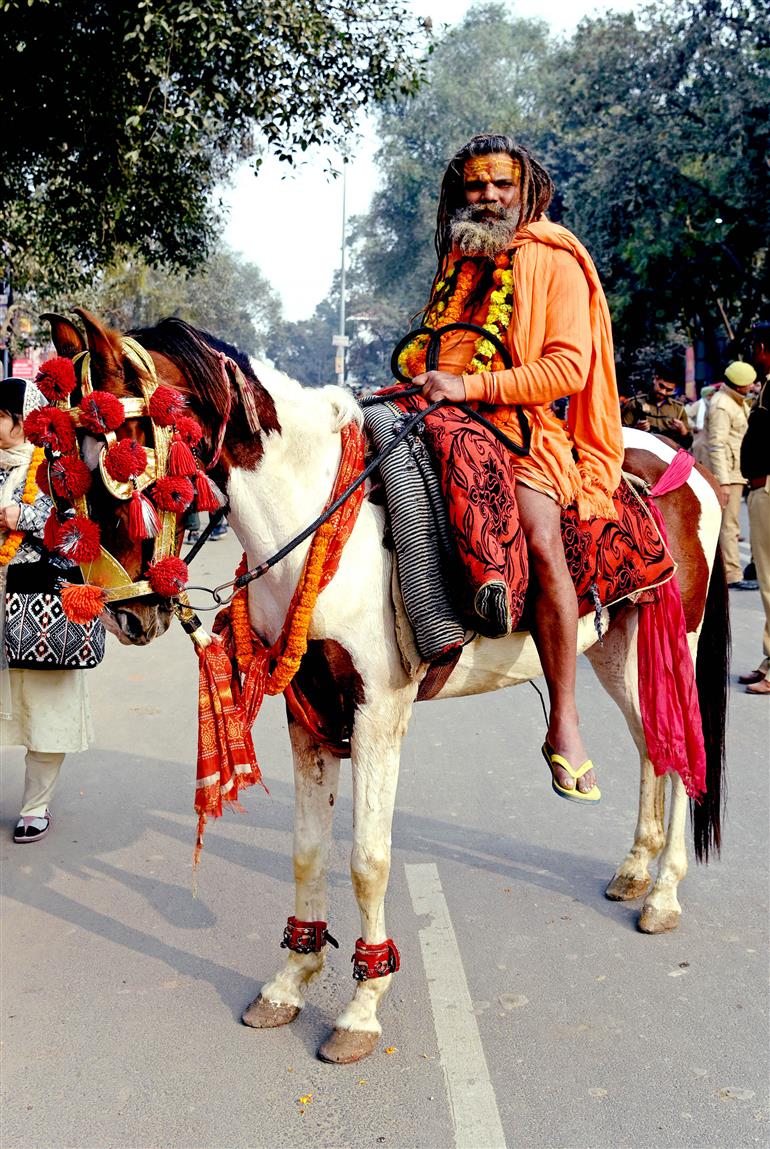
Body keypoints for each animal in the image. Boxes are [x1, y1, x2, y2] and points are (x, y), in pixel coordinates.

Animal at [42, 307, 730, 1066]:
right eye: (62, 469)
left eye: (121, 458)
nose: (129, 614)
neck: (312, 507)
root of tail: (678, 463)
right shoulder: (307, 707)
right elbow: (307, 849)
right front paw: (291, 978)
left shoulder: (378, 707)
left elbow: (367, 858)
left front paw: (361, 1008)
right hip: (614, 644)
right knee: (654, 745)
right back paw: (636, 868)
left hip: (675, 633)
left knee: (685, 747)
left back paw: (664, 893)